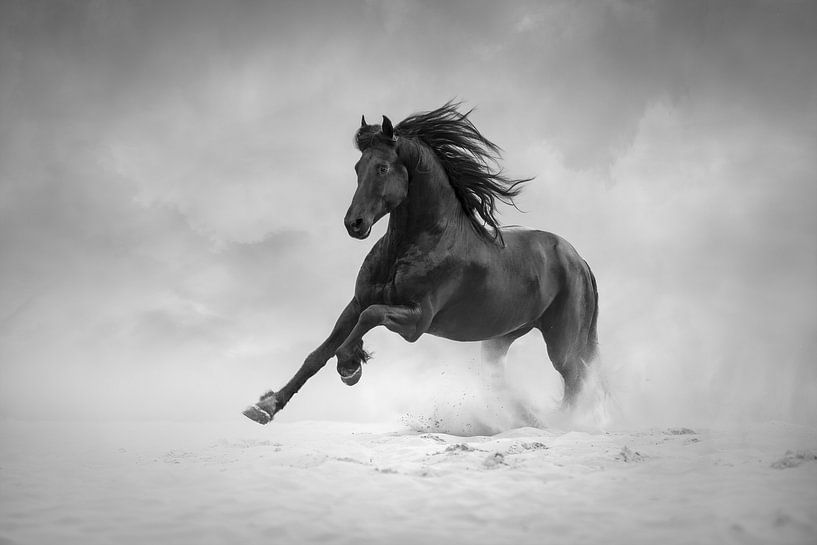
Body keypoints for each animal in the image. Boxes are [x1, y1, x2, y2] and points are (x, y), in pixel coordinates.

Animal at [243, 101, 599, 425]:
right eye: (358, 168)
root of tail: (578, 259)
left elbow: (369, 320)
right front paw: (267, 405)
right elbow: (318, 353)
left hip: (561, 340)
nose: (354, 224)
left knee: (575, 380)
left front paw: (350, 365)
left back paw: (564, 423)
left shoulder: (417, 321)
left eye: (382, 168)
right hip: (501, 338)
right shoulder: (357, 302)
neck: (414, 246)